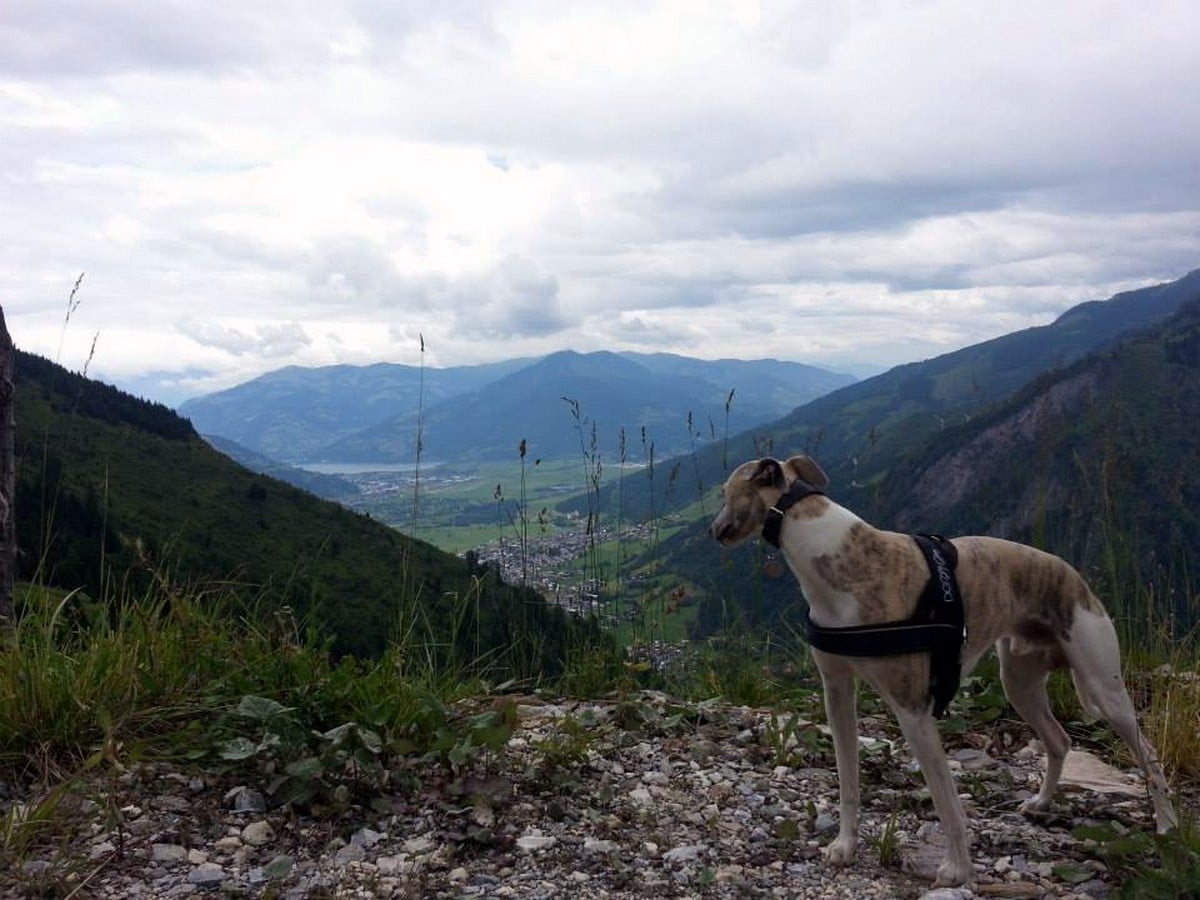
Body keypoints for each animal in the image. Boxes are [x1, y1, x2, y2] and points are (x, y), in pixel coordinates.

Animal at [705, 453, 1176, 892]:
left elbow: (947, 802)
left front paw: (958, 870)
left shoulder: (914, 711)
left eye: (726, 491)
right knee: (1059, 740)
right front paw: (845, 845)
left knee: (1148, 752)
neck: (836, 558)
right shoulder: (836, 692)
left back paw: (1168, 824)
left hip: (1103, 684)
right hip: (1019, 682)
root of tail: (1073, 576)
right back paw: (1041, 803)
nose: (713, 531)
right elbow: (849, 781)